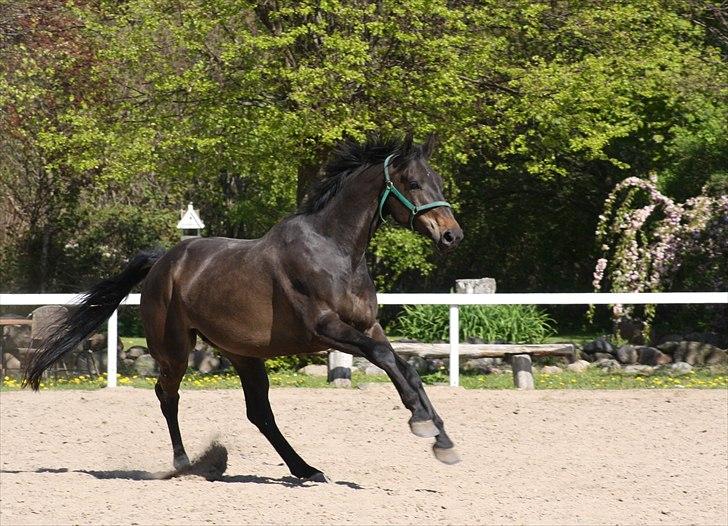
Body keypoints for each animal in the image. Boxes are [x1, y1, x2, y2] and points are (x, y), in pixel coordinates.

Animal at [27, 135, 466, 482]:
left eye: (438, 182)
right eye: (414, 183)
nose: (452, 236)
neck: (335, 250)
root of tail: (164, 260)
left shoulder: (368, 326)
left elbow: (407, 369)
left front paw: (442, 439)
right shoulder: (326, 328)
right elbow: (386, 360)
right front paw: (422, 425)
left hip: (242, 354)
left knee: (259, 413)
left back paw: (306, 469)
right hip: (175, 350)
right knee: (167, 395)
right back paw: (185, 464)